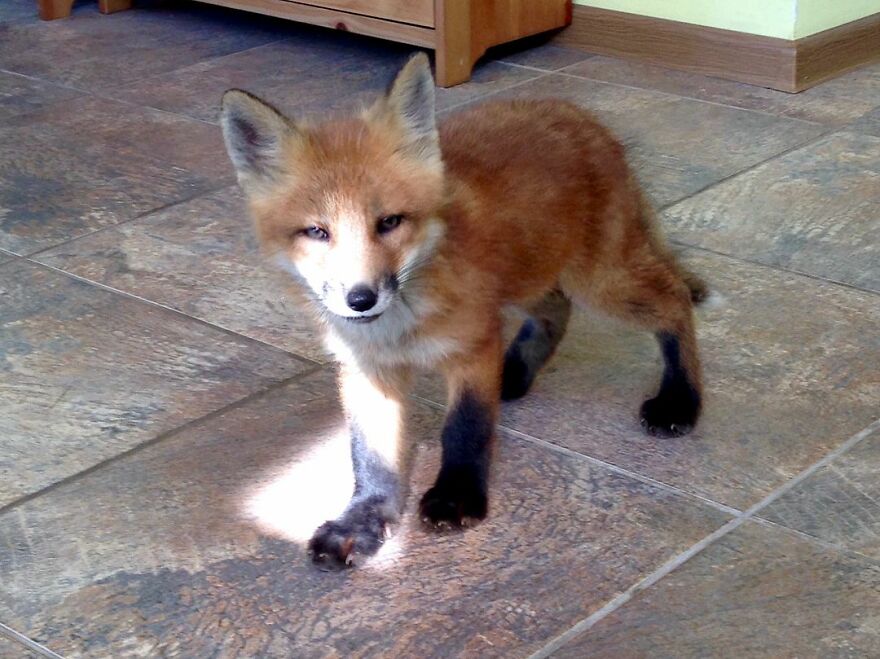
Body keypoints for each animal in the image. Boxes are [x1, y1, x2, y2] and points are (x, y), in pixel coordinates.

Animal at [220, 53, 705, 570]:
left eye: (389, 222)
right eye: (316, 231)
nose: (361, 299)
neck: (401, 329)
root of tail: (575, 112)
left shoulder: (473, 344)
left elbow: (465, 427)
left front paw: (456, 497)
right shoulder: (368, 369)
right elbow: (371, 459)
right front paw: (363, 521)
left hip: (601, 281)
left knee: (674, 299)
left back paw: (681, 399)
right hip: (528, 276)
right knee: (557, 307)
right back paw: (516, 372)